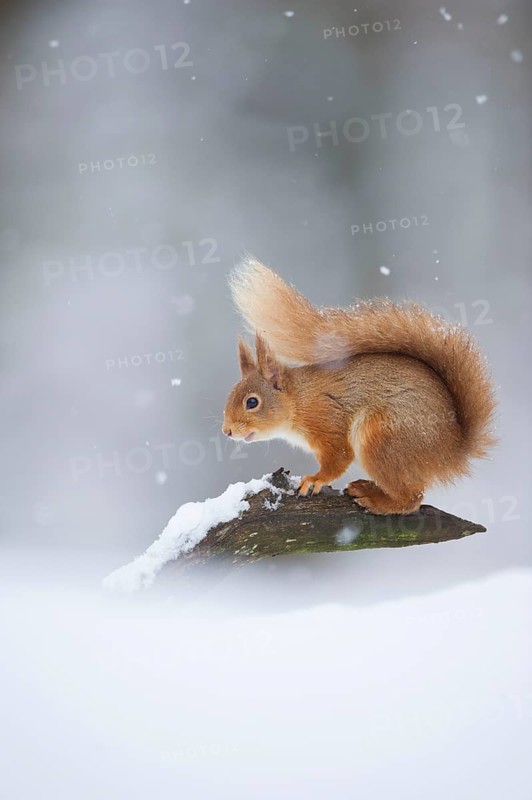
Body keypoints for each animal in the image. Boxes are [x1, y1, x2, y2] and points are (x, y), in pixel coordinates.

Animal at [222, 257, 496, 515]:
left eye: (252, 402)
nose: (227, 431)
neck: (299, 399)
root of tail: (453, 451)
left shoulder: (327, 421)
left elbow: (339, 457)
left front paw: (315, 479)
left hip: (383, 436)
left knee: (411, 498)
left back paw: (375, 500)